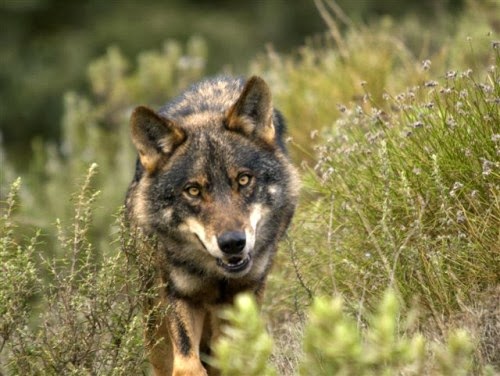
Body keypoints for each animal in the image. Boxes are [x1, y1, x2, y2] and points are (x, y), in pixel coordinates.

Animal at [125, 75, 298, 374]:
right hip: (154, 322)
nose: (232, 243)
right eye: (193, 191)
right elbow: (187, 363)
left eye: (243, 179)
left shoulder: (245, 294)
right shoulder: (179, 295)